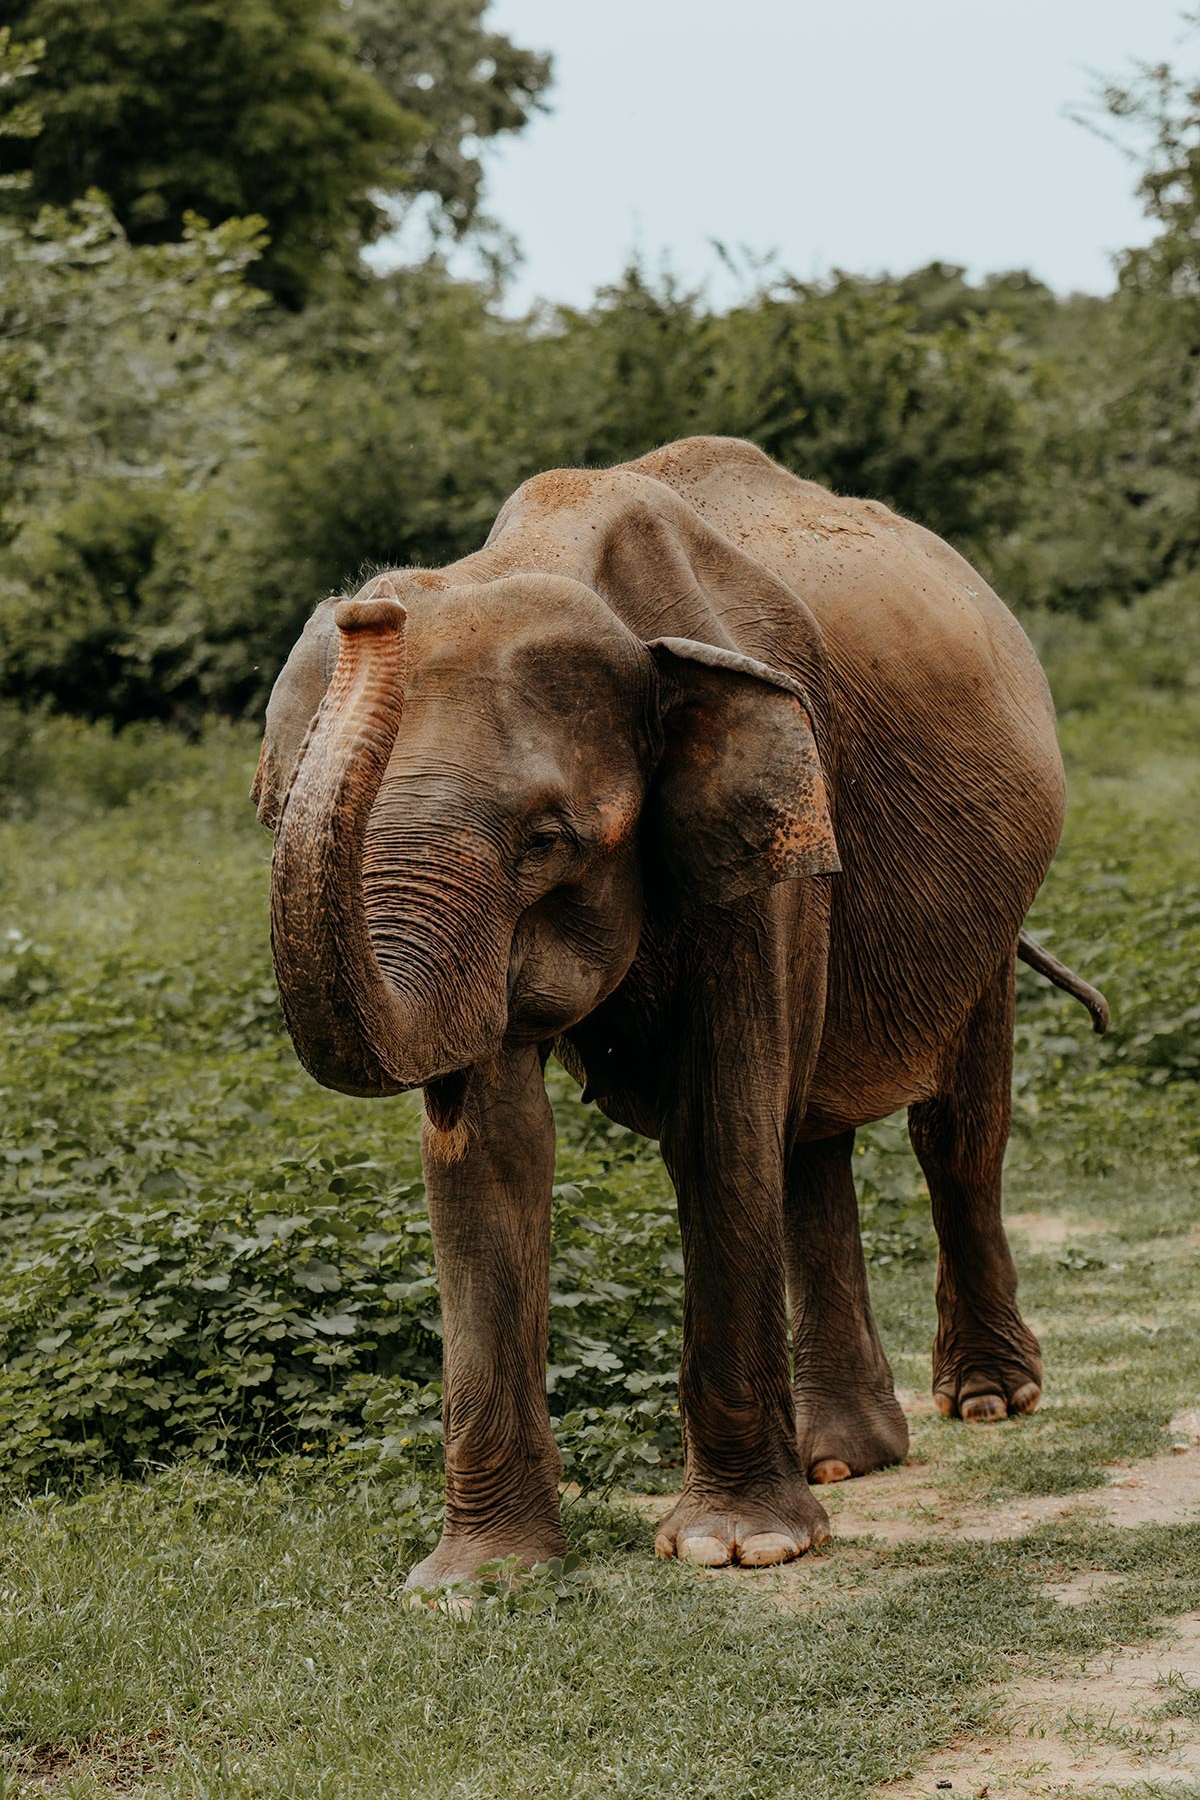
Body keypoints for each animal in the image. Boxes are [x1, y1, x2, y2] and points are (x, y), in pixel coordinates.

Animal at [254, 435, 1107, 1583]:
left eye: (547, 840)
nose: (367, 616)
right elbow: (490, 1146)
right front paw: (479, 1581)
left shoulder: (770, 828)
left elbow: (720, 1122)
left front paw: (738, 1549)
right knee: (812, 1139)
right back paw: (846, 1457)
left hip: (993, 899)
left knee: (953, 1128)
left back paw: (984, 1402)